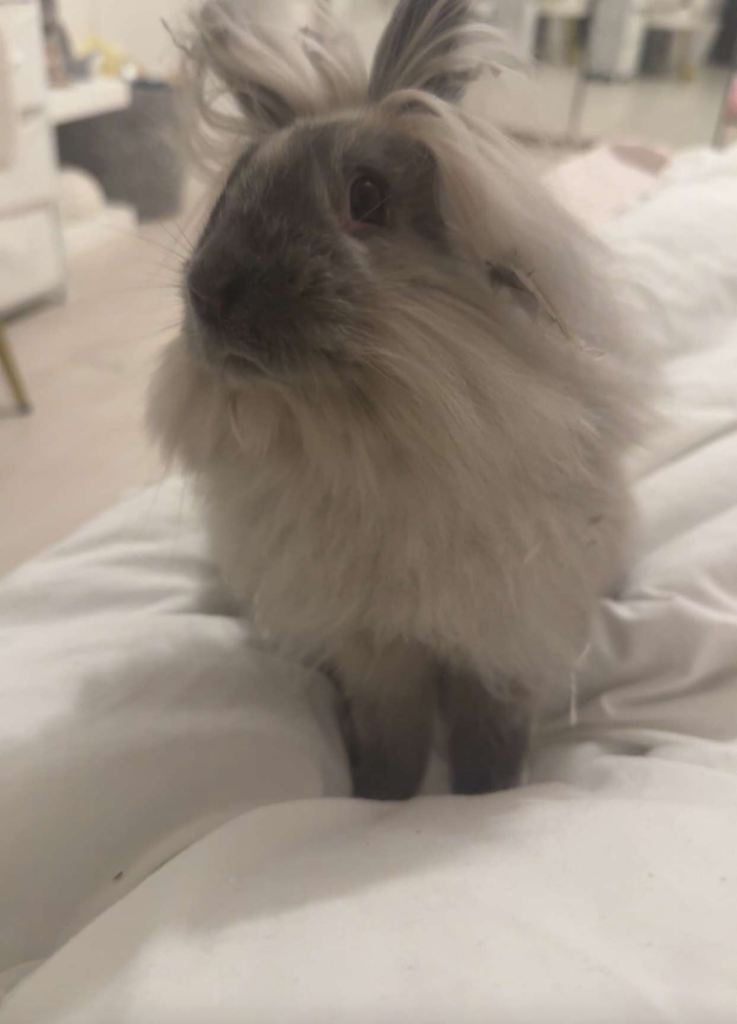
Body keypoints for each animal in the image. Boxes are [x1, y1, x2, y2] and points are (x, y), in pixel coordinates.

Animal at [149, 0, 646, 800]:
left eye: (367, 197)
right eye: (230, 194)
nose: (209, 290)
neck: (364, 428)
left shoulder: (503, 633)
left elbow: (489, 732)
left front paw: (481, 798)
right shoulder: (374, 649)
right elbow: (394, 735)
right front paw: (381, 800)